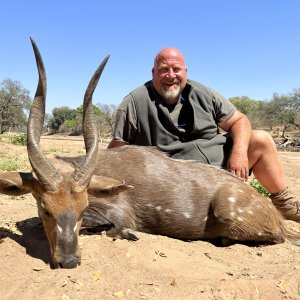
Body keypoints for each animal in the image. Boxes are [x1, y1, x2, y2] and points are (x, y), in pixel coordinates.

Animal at [0, 38, 300, 270]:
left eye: (82, 208)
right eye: (45, 209)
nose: (69, 261)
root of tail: (275, 216)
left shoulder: (119, 214)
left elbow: (113, 226)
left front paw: (128, 234)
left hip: (230, 213)